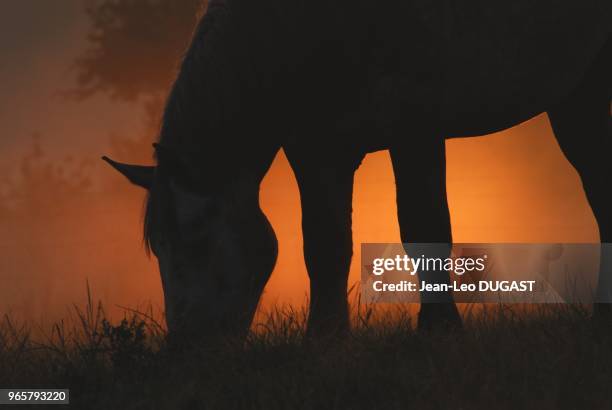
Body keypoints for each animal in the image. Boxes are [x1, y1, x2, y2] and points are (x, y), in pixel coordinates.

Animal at [104, 0, 612, 342]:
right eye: (158, 249)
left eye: (196, 240)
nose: (185, 348)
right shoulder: (316, 150)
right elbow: (324, 245)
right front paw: (324, 341)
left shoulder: (416, 128)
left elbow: (424, 227)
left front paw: (440, 331)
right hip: (576, 91)